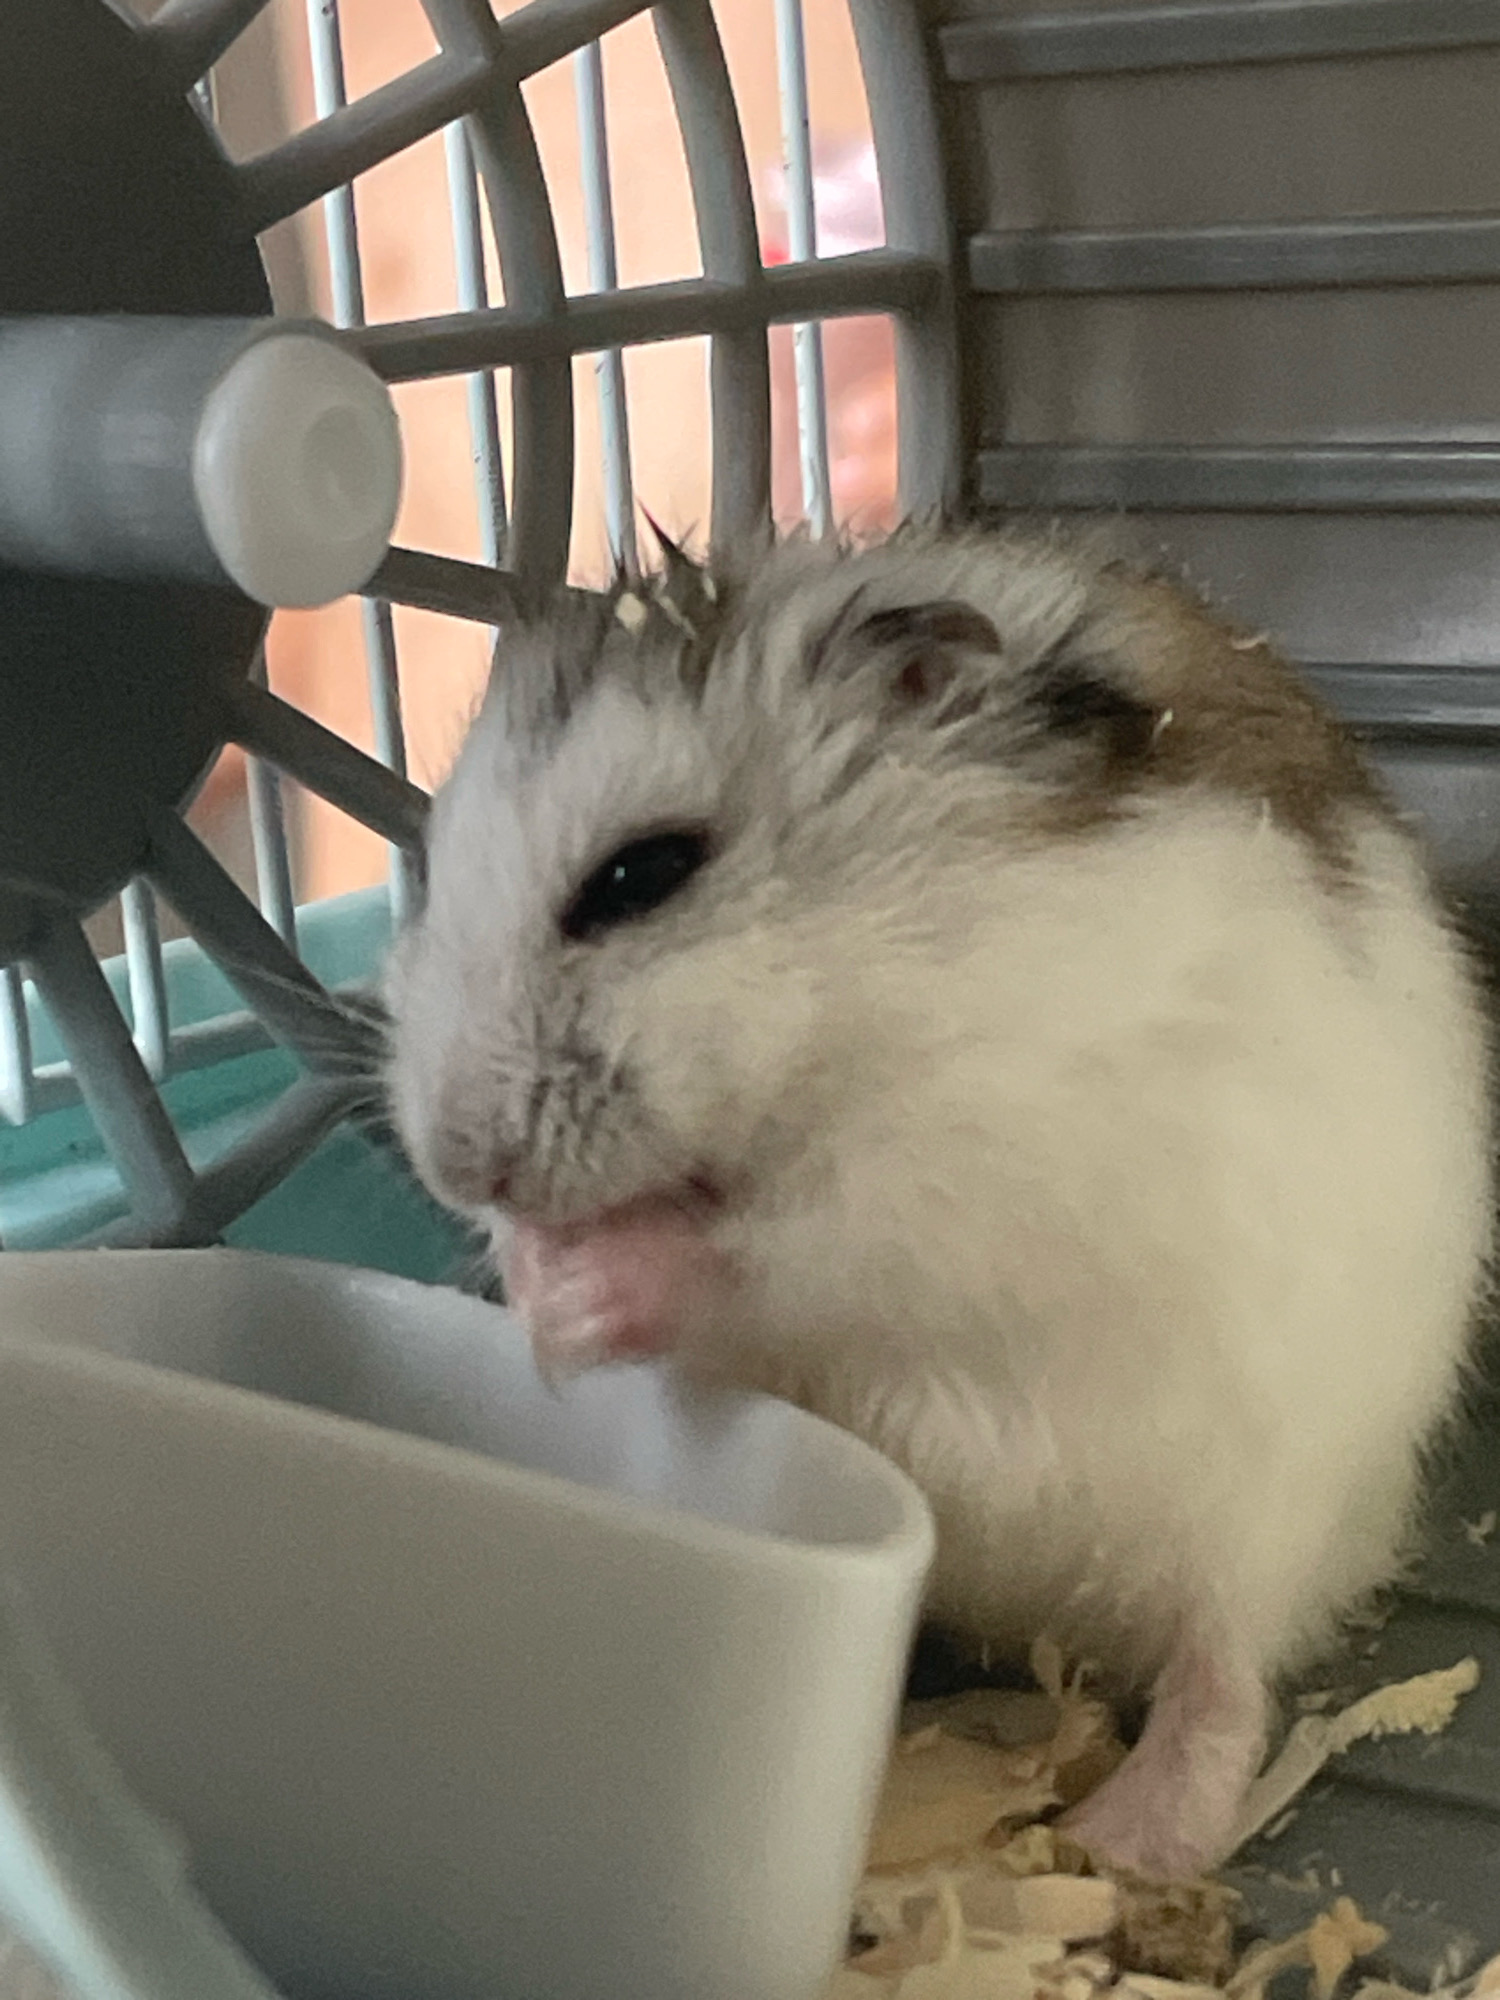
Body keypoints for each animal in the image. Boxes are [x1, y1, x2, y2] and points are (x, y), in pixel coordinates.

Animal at [385, 523, 1494, 1881]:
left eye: (641, 874)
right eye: (425, 876)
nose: (456, 1164)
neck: (868, 988)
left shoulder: (984, 1159)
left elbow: (772, 1251)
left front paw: (574, 1311)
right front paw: (533, 1282)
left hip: (1274, 1498)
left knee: (1226, 1671)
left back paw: (1121, 1839)